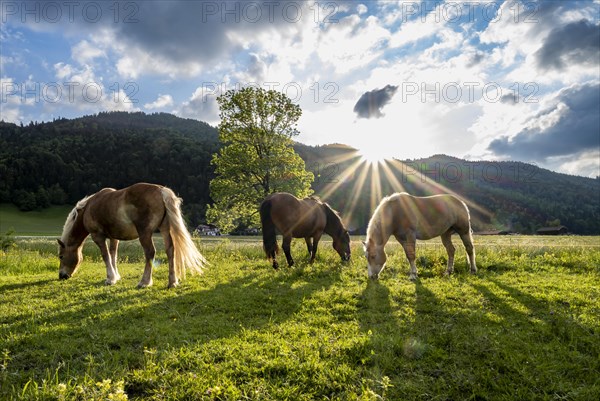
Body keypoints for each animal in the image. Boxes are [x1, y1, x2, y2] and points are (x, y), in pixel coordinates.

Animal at [57, 183, 206, 286]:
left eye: (61, 256)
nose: (62, 276)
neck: (88, 208)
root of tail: (161, 190)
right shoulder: (114, 238)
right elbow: (113, 255)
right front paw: (116, 276)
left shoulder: (98, 237)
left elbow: (106, 256)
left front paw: (110, 279)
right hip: (164, 230)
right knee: (170, 250)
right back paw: (172, 282)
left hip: (145, 233)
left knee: (150, 252)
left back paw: (144, 282)